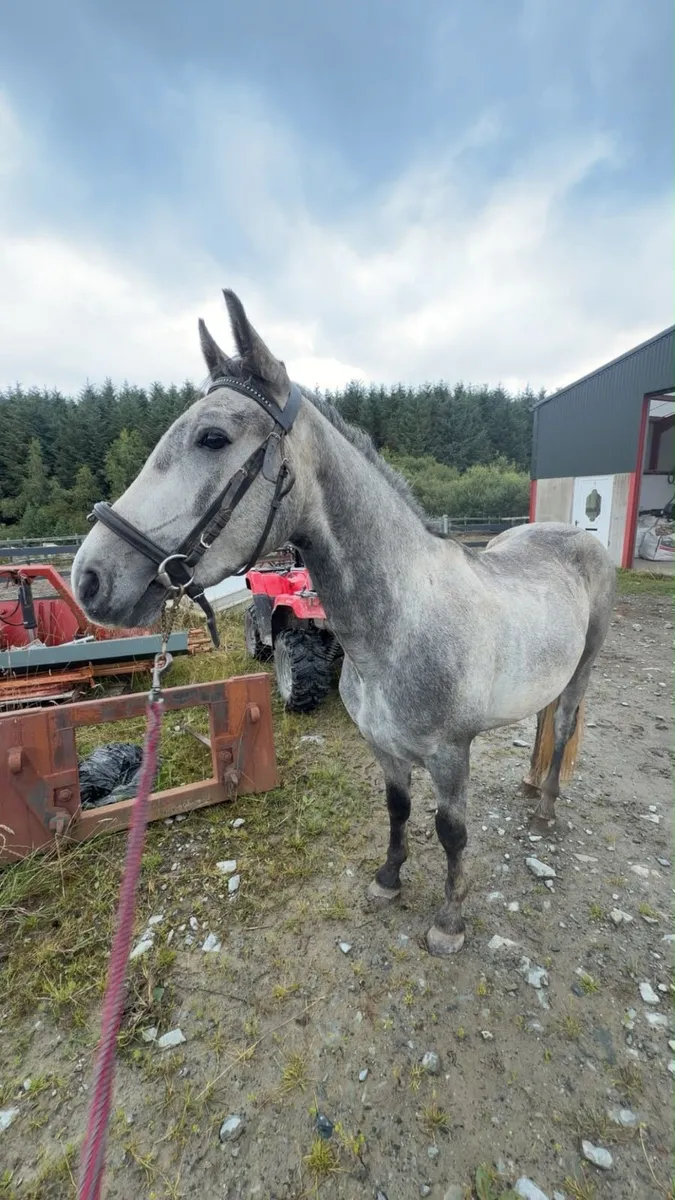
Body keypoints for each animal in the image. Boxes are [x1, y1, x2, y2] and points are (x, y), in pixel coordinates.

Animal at [72, 289, 616, 956]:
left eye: (212, 437)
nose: (90, 577)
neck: (398, 630)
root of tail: (576, 536)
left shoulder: (450, 756)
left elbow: (452, 833)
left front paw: (449, 921)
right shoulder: (384, 749)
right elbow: (397, 809)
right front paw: (388, 880)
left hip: (584, 668)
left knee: (561, 725)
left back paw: (546, 807)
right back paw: (531, 787)